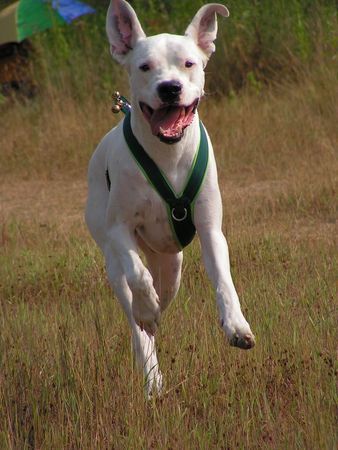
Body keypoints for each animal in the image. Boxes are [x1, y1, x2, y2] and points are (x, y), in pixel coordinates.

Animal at [86, 0, 255, 394]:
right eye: (145, 67)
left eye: (189, 63)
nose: (170, 88)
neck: (167, 153)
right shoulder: (119, 229)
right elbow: (136, 274)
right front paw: (146, 307)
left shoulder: (210, 229)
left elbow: (223, 279)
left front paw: (237, 326)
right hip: (111, 259)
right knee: (135, 314)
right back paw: (151, 367)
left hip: (171, 265)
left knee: (162, 288)